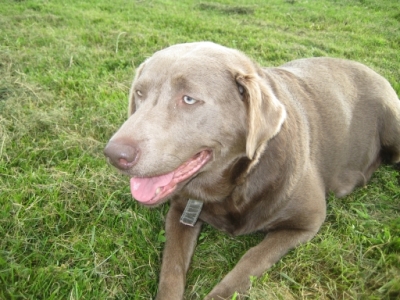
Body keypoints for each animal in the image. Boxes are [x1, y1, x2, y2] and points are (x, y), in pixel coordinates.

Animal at [104, 41, 400, 298]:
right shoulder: (180, 210)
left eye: (188, 99)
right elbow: (171, 270)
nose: (114, 154)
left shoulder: (307, 222)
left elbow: (250, 261)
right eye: (139, 93)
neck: (234, 188)